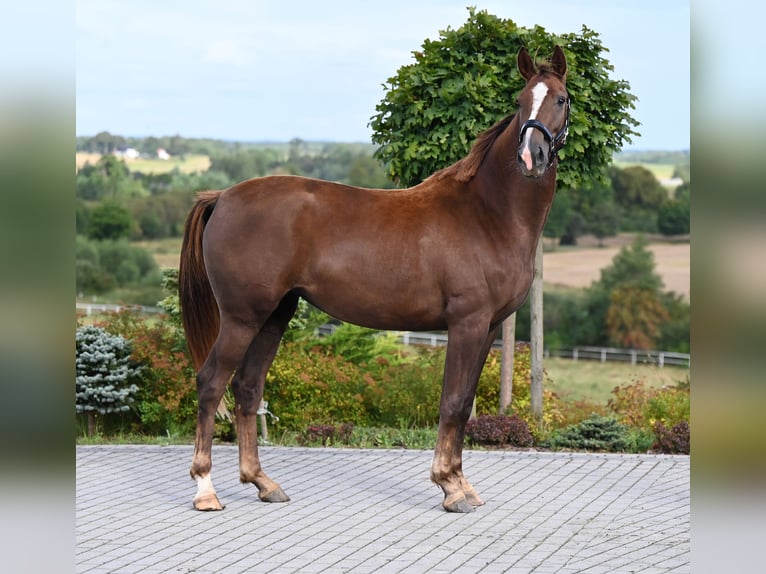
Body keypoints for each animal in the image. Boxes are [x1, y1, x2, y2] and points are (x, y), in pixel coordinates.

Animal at [180, 45, 568, 512]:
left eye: (561, 99)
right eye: (520, 100)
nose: (532, 157)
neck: (487, 213)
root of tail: (221, 198)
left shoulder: (490, 326)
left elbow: (464, 404)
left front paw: (461, 483)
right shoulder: (467, 323)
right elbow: (453, 403)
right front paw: (449, 486)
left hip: (274, 315)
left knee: (247, 388)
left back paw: (263, 483)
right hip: (242, 317)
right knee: (211, 383)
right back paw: (205, 490)